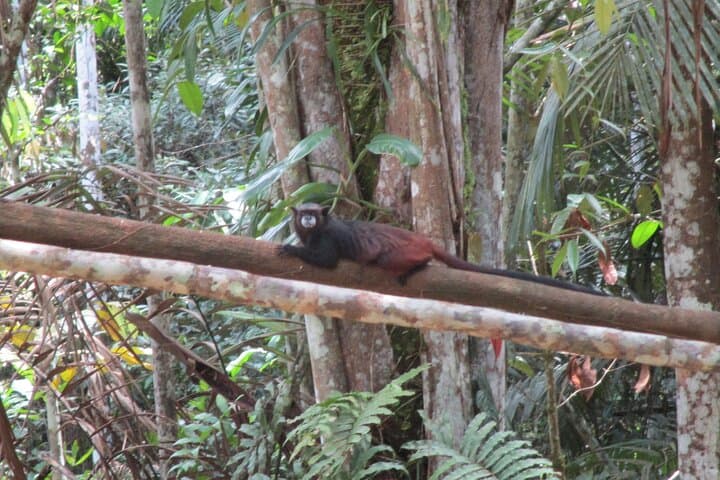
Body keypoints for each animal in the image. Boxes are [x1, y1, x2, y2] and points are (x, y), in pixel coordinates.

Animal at [280, 203, 603, 296]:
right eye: (303, 213)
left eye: (313, 214)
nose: (307, 218)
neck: (315, 230)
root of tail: (424, 240)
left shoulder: (328, 235)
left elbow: (327, 260)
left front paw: (291, 250)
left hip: (403, 251)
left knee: (386, 257)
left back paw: (418, 264)